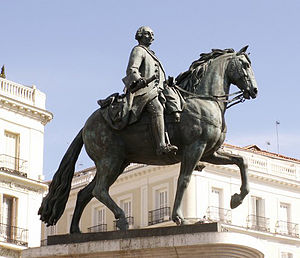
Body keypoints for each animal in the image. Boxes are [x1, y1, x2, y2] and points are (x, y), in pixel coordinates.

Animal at [37, 45, 258, 233]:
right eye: (245, 65)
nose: (254, 90)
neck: (203, 100)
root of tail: (86, 126)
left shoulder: (210, 152)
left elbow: (242, 161)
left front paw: (237, 199)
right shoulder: (194, 148)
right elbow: (183, 180)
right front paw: (179, 218)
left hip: (117, 163)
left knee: (85, 193)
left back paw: (75, 231)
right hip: (110, 160)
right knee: (99, 190)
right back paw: (122, 219)